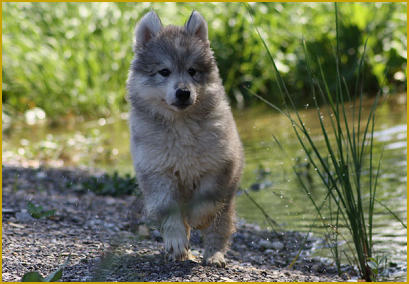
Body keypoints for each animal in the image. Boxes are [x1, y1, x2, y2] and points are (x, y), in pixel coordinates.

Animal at [126, 10, 242, 268]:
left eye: (192, 71)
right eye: (164, 72)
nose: (183, 92)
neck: (181, 125)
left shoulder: (218, 166)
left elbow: (206, 202)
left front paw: (197, 217)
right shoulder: (158, 174)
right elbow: (172, 216)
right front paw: (177, 242)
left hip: (228, 203)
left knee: (218, 230)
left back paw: (214, 256)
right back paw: (181, 253)